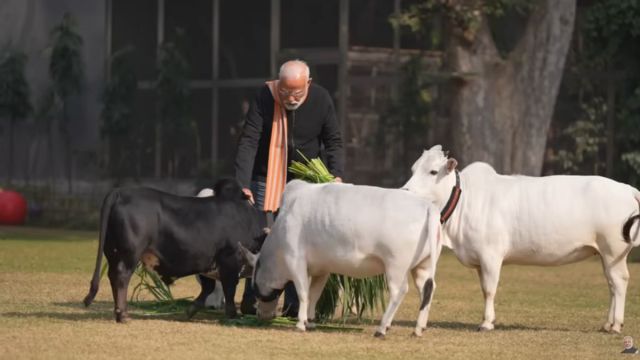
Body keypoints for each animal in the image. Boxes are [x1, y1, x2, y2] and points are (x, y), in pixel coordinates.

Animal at [84, 179, 266, 322]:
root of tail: (120, 192)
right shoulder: (230, 259)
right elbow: (229, 288)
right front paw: (232, 315)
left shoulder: (205, 261)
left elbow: (208, 287)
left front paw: (190, 310)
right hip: (129, 253)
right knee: (121, 276)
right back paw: (123, 315)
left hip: (112, 252)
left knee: (112, 276)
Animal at [238, 180, 442, 338]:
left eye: (253, 285)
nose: (261, 315)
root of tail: (427, 205)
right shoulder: (322, 269)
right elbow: (314, 294)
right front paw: (310, 321)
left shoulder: (295, 260)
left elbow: (303, 292)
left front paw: (300, 324)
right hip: (422, 266)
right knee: (427, 289)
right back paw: (418, 329)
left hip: (396, 266)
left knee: (399, 292)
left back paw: (382, 328)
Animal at [404, 145, 640, 334]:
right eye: (413, 169)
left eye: (433, 171)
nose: (405, 191)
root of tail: (626, 188)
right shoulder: (479, 258)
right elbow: (483, 288)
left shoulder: (491, 254)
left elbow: (489, 289)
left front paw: (487, 323)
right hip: (605, 253)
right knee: (611, 284)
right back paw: (608, 324)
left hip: (613, 249)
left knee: (619, 281)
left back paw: (616, 325)